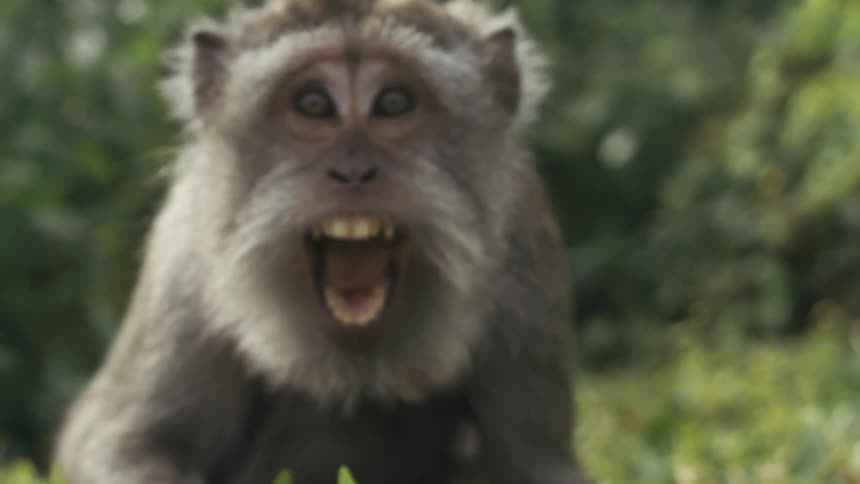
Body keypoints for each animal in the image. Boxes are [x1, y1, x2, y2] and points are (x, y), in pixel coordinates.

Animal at [54, 1, 589, 483]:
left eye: (393, 102)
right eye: (314, 104)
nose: (353, 172)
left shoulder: (524, 249)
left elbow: (533, 463)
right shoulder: (184, 258)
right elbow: (130, 444)